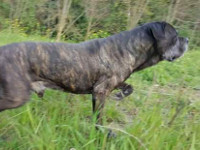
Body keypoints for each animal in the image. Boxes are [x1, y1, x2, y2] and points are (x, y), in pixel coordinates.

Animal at [0, 21, 188, 126]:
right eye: (175, 35)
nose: (187, 39)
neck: (129, 48)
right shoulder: (100, 91)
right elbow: (99, 118)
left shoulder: (106, 86)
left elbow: (129, 87)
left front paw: (121, 94)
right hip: (16, 96)